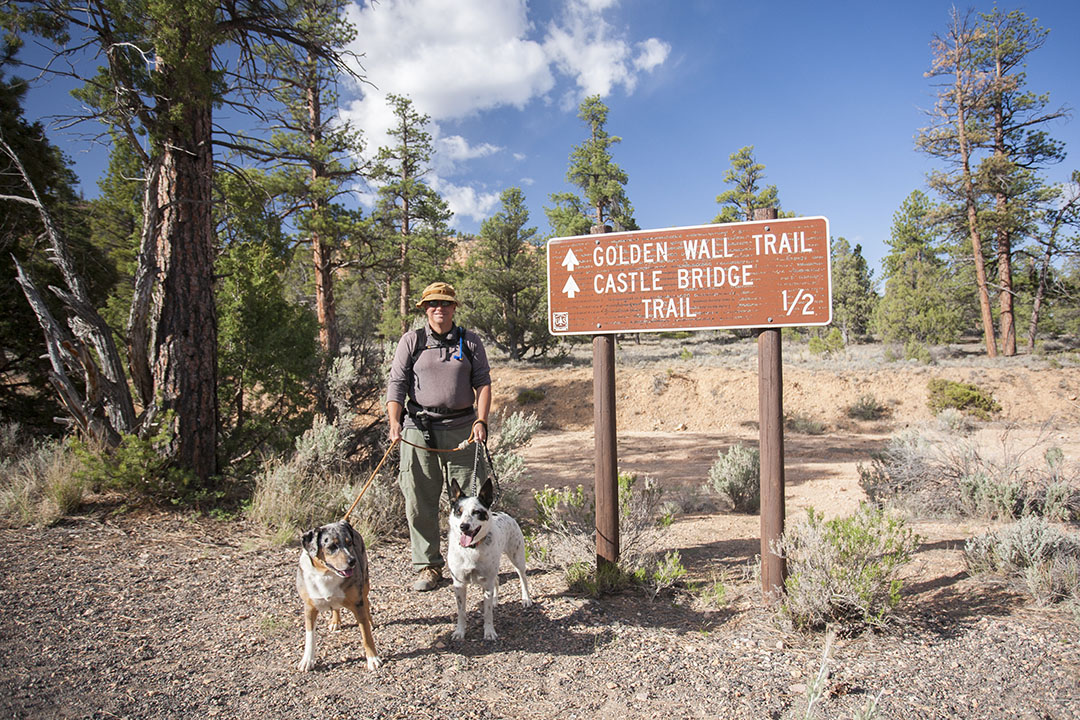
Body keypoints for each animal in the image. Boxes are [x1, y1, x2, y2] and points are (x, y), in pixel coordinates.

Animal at [447, 479, 531, 643]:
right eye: (459, 511)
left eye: (477, 512)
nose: (463, 526)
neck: (471, 549)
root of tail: (503, 513)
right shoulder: (459, 584)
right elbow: (461, 612)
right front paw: (460, 632)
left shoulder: (486, 583)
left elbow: (487, 613)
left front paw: (489, 632)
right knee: (497, 580)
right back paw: (495, 600)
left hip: (517, 558)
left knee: (522, 578)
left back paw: (526, 599)